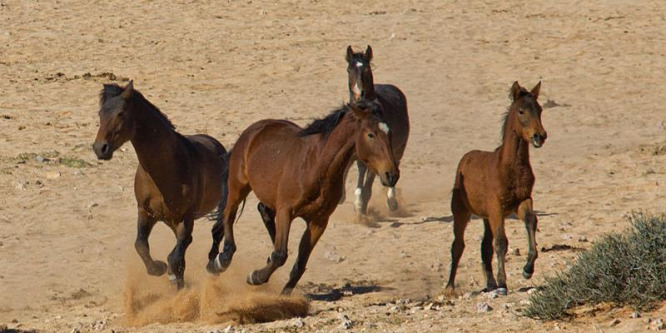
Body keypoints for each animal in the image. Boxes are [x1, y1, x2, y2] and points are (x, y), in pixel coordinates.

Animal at [92, 80, 228, 288]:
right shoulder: (145, 211)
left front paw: (173, 276)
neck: (165, 171)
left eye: (121, 113)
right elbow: (141, 245)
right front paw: (158, 268)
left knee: (215, 233)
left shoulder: (186, 217)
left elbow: (176, 256)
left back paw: (214, 266)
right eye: (100, 113)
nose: (100, 148)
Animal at [205, 100, 396, 294]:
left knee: (262, 210)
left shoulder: (319, 221)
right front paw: (255, 277)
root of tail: (252, 130)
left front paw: (284, 294)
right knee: (228, 215)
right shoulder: (286, 211)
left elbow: (299, 263)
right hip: (238, 185)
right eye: (371, 134)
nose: (392, 175)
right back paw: (221, 260)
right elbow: (280, 255)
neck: (317, 167)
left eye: (390, 133)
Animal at [340, 45, 408, 214]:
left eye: (366, 69)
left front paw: (361, 207)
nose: (358, 93)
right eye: (349, 69)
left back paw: (391, 201)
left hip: (398, 150)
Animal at [446, 81, 544, 294]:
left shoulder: (522, 201)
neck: (509, 167)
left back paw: (489, 283)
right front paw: (502, 283)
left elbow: (531, 221)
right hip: (461, 212)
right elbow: (501, 242)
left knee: (484, 246)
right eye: (521, 111)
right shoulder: (497, 208)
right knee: (458, 245)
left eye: (540, 110)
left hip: (485, 216)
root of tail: (465, 158)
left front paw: (527, 269)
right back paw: (449, 286)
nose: (540, 136)